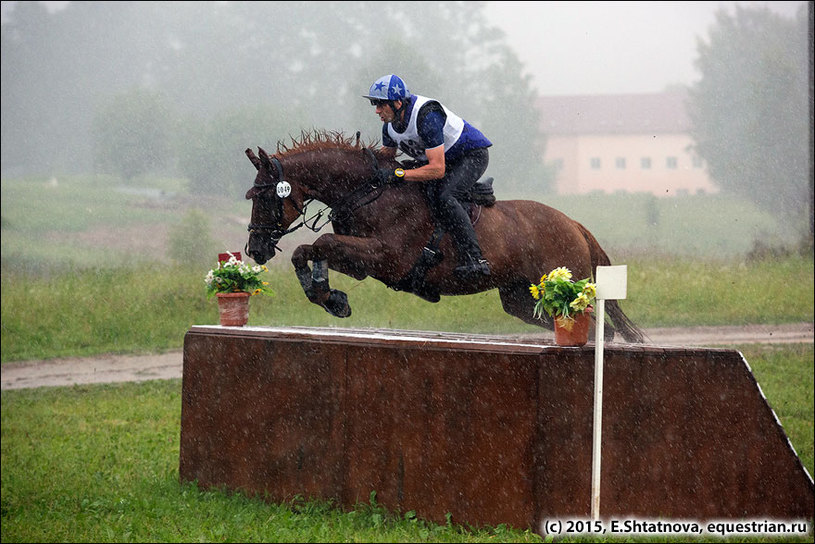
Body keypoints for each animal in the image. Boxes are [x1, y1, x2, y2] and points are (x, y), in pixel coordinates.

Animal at [242, 130, 644, 342]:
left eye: (264, 196)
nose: (255, 249)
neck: (369, 191)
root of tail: (575, 224)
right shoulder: (362, 262)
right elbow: (308, 250)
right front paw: (330, 297)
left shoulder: (386, 255)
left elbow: (321, 244)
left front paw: (330, 297)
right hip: (520, 297)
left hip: (567, 285)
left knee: (598, 327)